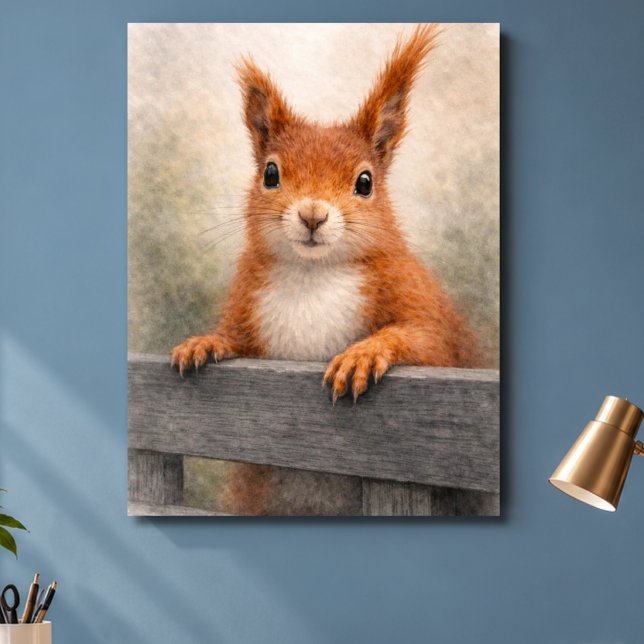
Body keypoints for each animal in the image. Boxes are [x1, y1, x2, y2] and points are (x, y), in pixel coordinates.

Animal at [171, 24, 479, 514]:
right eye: (271, 174)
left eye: (365, 182)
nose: (312, 215)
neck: (311, 276)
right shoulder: (249, 304)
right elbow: (237, 339)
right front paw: (205, 342)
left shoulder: (418, 303)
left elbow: (426, 338)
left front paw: (363, 355)